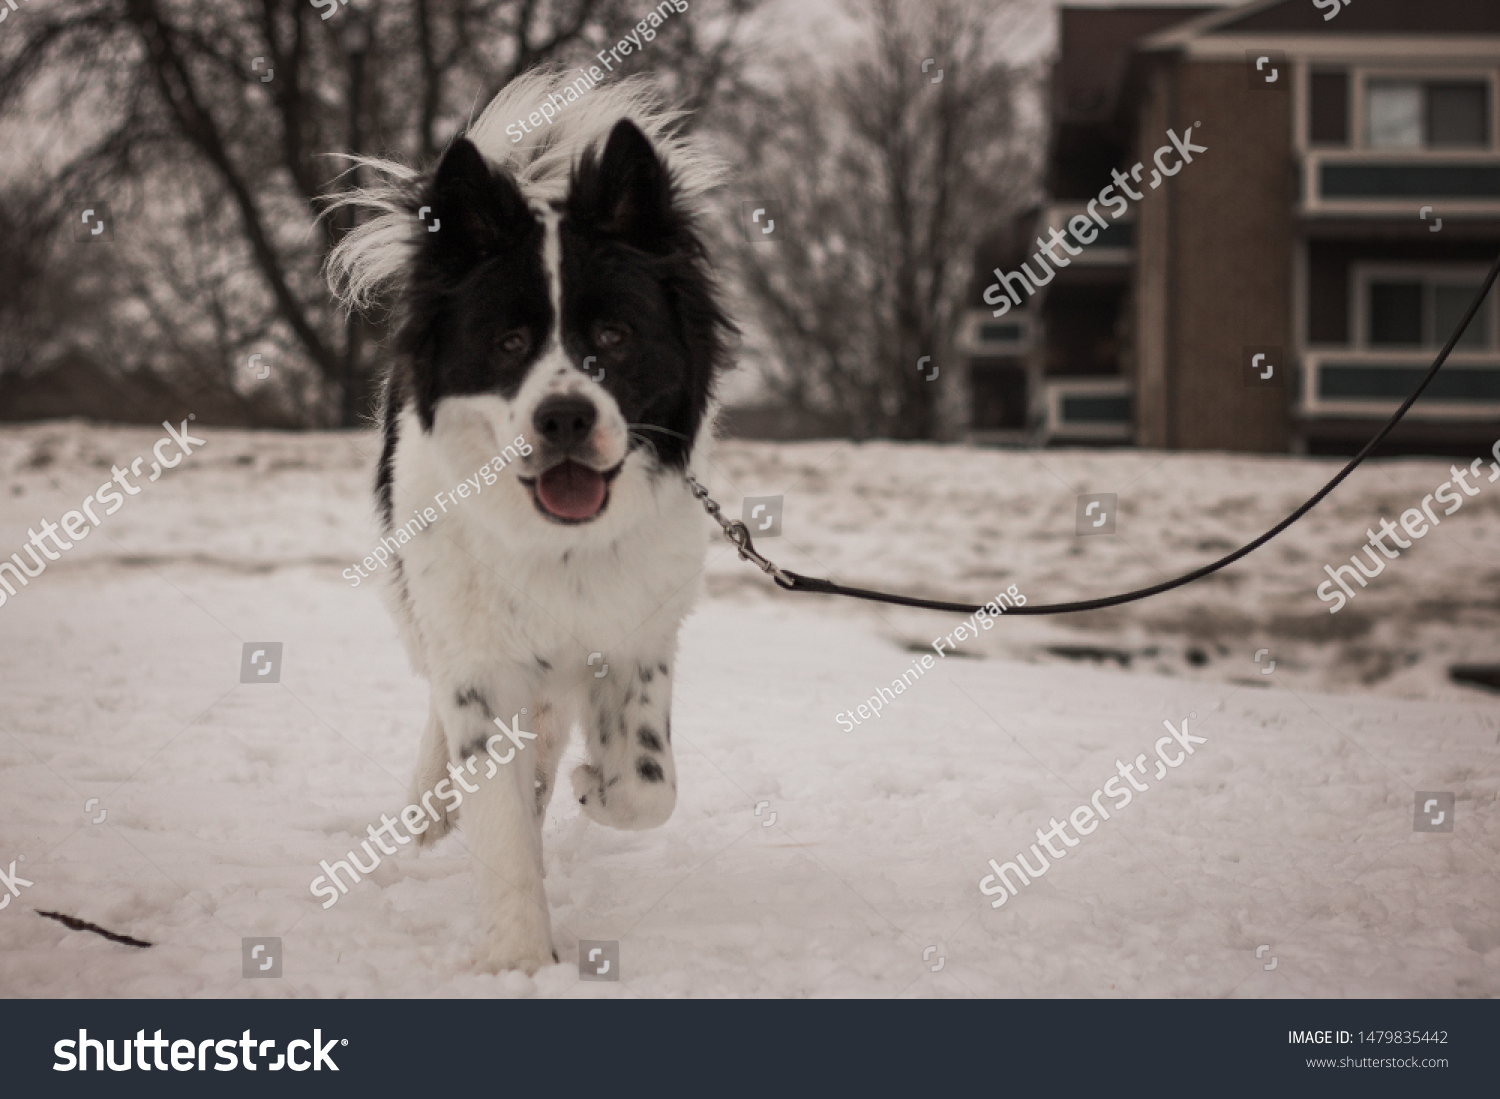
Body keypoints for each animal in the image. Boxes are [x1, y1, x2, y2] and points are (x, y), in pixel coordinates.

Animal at [325, 70, 735, 971]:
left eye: (613, 335)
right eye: (509, 342)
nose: (564, 417)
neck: (559, 545)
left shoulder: (637, 635)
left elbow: (648, 785)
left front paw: (593, 784)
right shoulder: (475, 658)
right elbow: (499, 815)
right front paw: (516, 958)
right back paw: (433, 806)